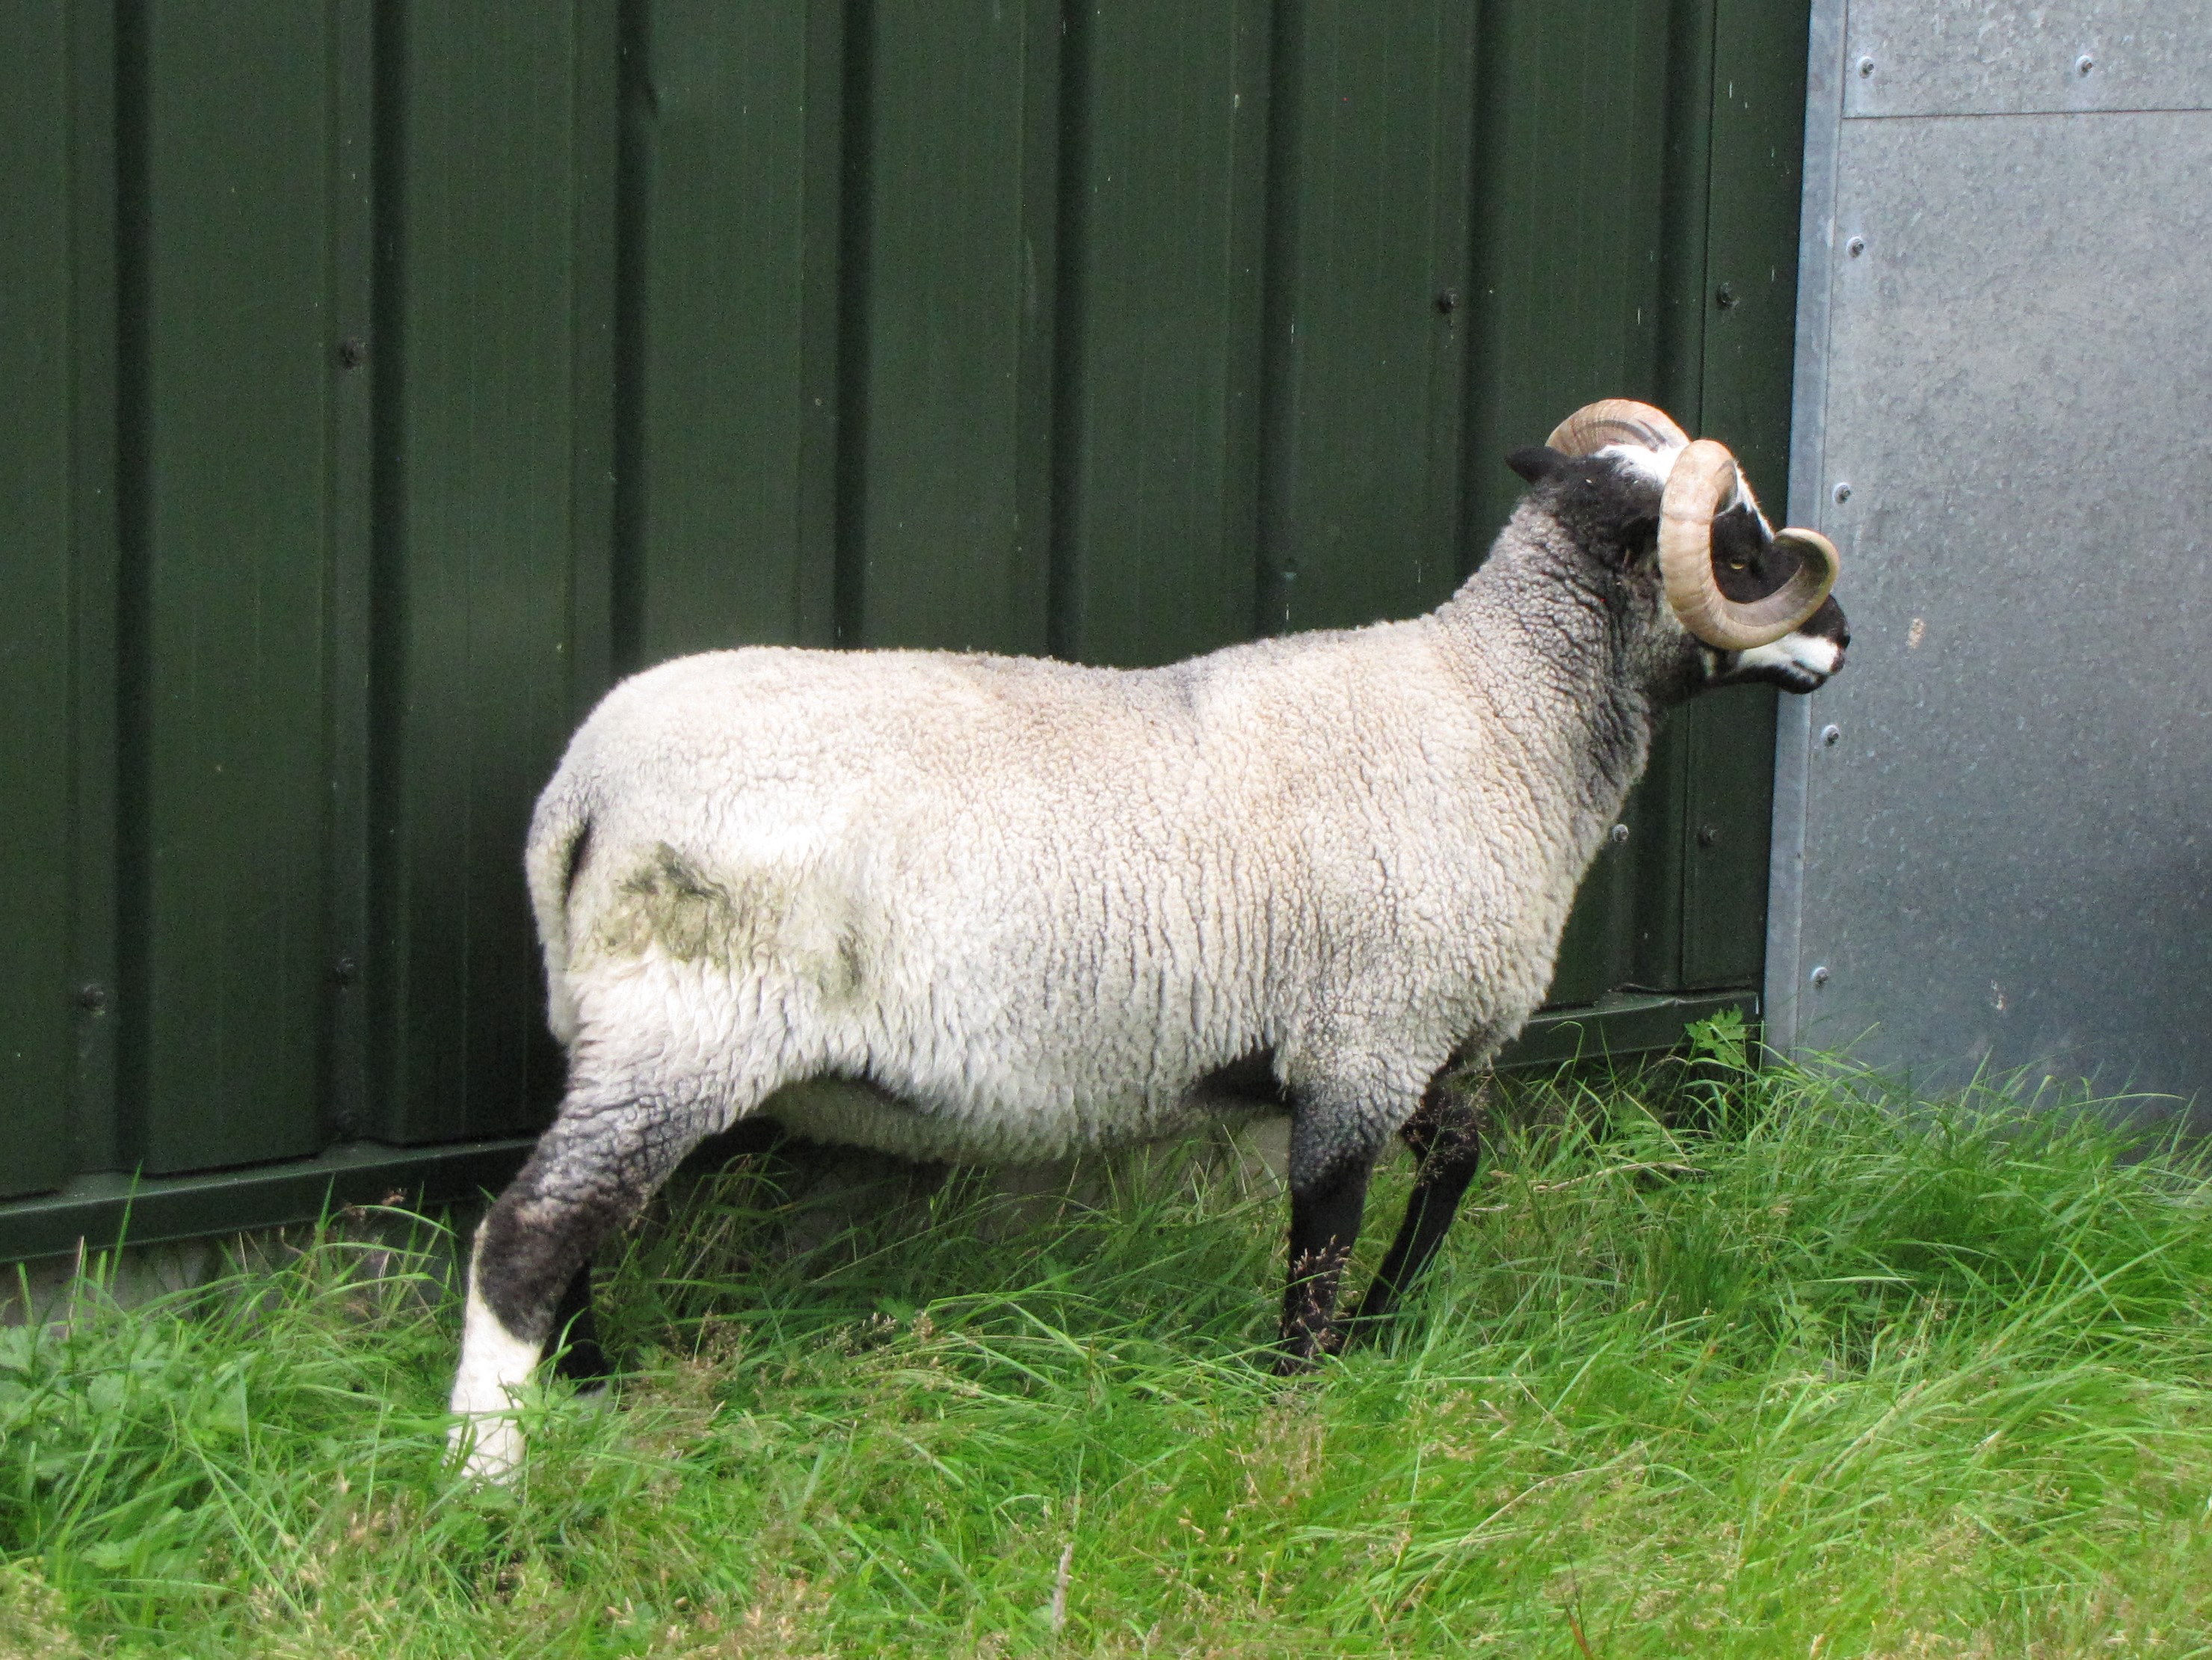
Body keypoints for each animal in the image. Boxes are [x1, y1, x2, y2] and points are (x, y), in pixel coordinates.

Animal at [449, 402, 1849, 1478]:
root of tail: (582, 789)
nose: (1837, 633)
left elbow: (1453, 1168)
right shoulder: (1365, 1040)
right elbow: (1320, 1237)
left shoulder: (1433, 1039)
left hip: (629, 1031)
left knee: (576, 1229)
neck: (1503, 711)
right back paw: (492, 1473)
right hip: (680, 1024)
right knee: (531, 1234)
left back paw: (589, 1395)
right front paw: (1299, 1405)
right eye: (1733, 544)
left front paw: (1383, 1333)